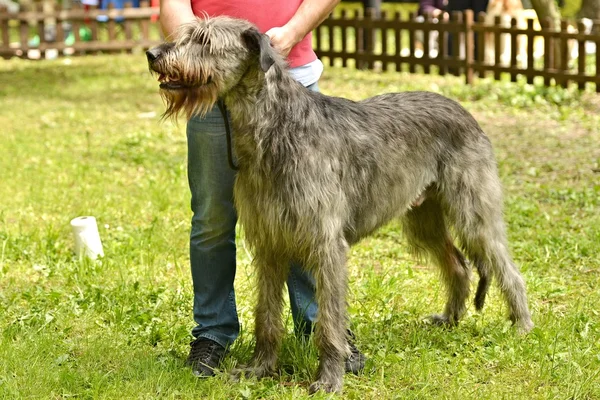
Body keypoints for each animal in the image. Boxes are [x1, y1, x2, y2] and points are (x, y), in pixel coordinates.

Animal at [146, 16, 536, 394]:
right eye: (188, 34)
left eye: (205, 41)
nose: (153, 53)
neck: (274, 129)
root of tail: (460, 107)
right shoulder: (270, 243)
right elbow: (266, 316)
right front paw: (260, 368)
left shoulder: (327, 246)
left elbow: (329, 323)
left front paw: (329, 378)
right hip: (423, 218)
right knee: (457, 264)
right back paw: (450, 319)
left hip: (474, 212)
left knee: (508, 268)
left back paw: (522, 326)